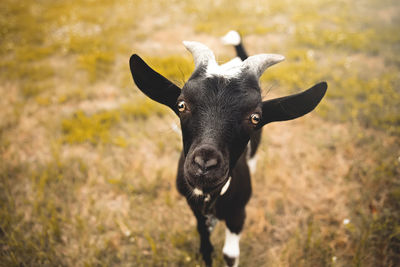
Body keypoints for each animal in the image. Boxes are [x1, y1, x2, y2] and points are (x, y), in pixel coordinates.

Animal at [130, 34, 326, 266]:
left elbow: (229, 254)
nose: (205, 164)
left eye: (255, 117)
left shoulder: (238, 214)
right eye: (181, 105)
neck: (210, 198)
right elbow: (205, 245)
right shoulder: (196, 210)